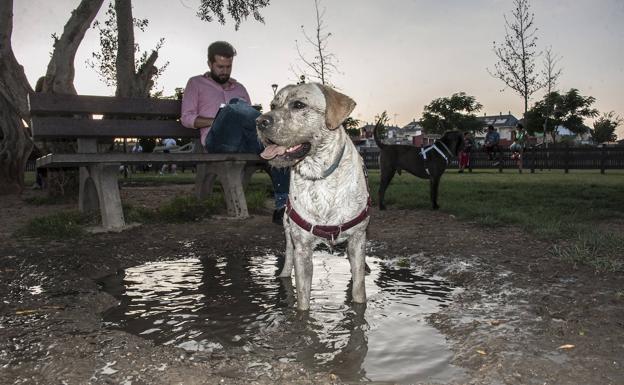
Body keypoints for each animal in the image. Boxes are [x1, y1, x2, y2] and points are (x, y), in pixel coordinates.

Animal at [258, 82, 370, 310]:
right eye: (273, 105)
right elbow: (303, 300)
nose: (258, 121)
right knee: (287, 259)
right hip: (288, 232)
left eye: (299, 105)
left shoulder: (357, 239)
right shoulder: (302, 247)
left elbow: (359, 291)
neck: (319, 175)